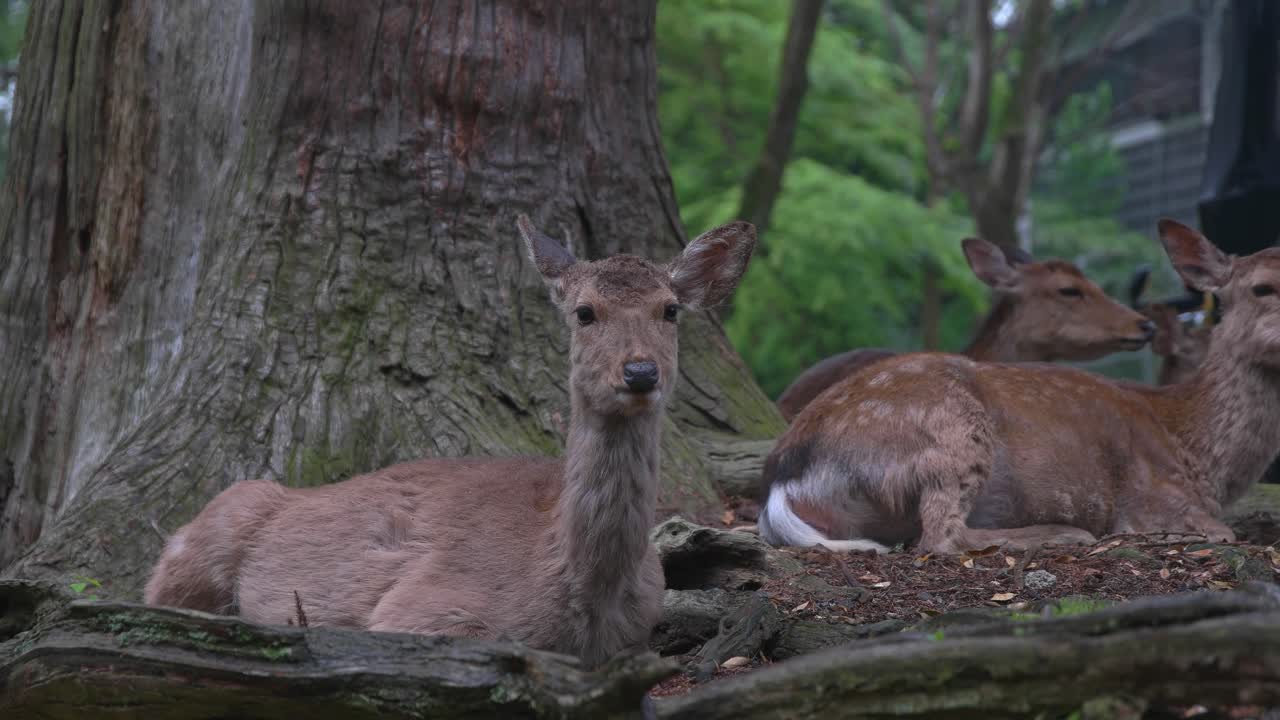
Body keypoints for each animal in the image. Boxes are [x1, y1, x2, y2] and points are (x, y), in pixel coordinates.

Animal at [145, 216, 757, 670]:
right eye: (584, 312)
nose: (640, 371)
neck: (587, 593)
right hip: (202, 543)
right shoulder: (417, 608)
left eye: (670, 309)